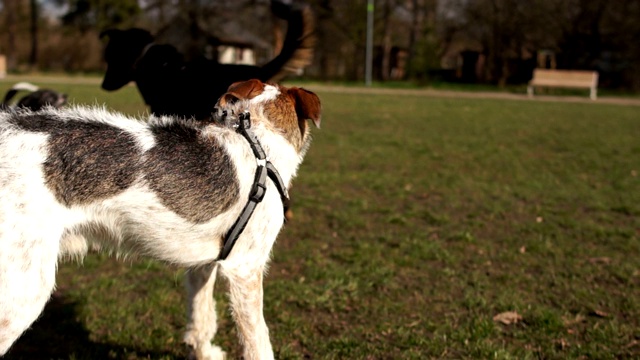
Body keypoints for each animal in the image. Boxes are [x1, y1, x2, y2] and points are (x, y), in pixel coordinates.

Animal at [0, 79, 320, 360]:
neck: (257, 141)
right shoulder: (245, 268)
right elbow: (258, 340)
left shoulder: (203, 265)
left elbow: (201, 316)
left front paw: (202, 352)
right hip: (23, 293)